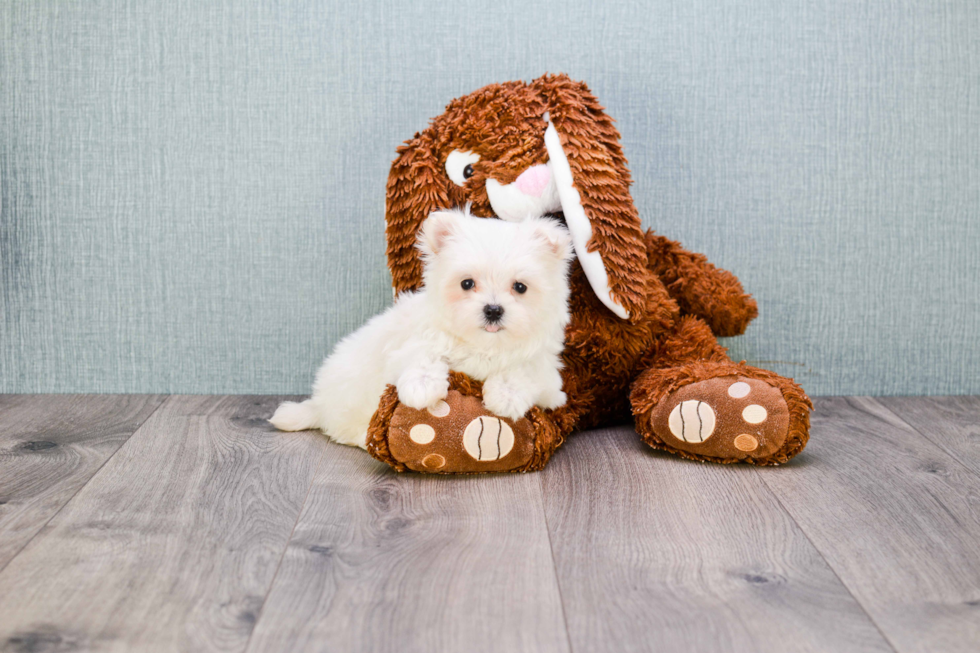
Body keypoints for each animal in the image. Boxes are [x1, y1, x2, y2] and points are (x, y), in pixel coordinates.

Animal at [270, 209, 576, 448]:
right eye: (467, 283)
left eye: (520, 287)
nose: (493, 309)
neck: (484, 346)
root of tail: (320, 404)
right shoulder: (410, 342)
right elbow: (423, 355)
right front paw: (422, 387)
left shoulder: (548, 374)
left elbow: (525, 371)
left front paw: (507, 395)